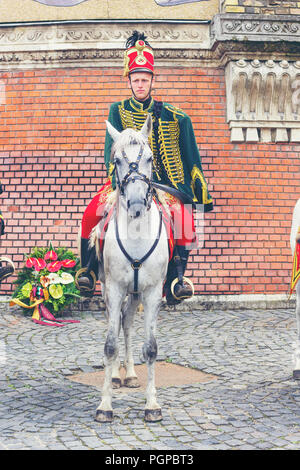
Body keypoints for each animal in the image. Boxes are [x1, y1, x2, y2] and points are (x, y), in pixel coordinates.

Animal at [92, 114, 169, 422]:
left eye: (149, 158)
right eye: (117, 160)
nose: (136, 205)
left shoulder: (152, 292)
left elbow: (151, 347)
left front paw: (152, 404)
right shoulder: (114, 289)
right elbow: (110, 345)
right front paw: (105, 405)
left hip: (136, 293)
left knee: (126, 323)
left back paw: (131, 373)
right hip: (109, 290)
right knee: (116, 323)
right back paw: (116, 375)